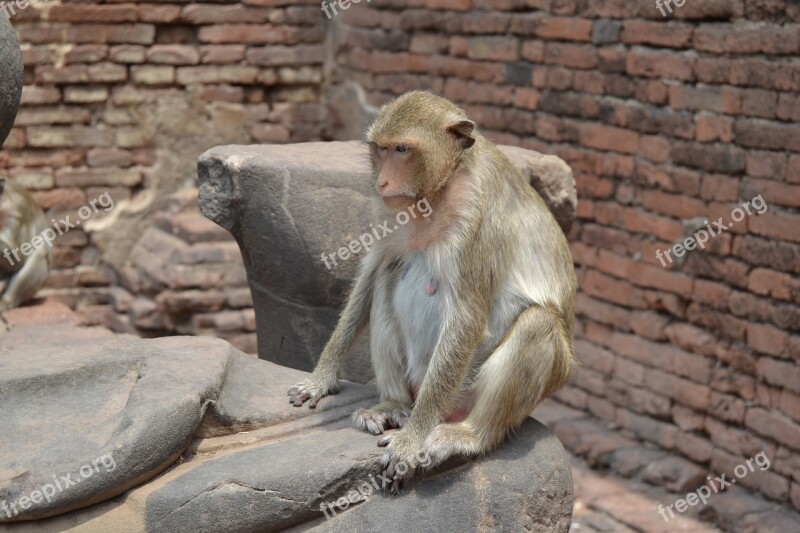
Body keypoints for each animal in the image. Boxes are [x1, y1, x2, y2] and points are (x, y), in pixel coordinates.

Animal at [288, 89, 576, 488]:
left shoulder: (477, 216)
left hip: (466, 392)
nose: (382, 183)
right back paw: (392, 406)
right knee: (386, 276)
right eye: (381, 149)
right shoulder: (390, 211)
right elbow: (371, 273)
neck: (439, 190)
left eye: (403, 149)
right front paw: (321, 379)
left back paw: (468, 434)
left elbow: (467, 319)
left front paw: (411, 441)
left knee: (538, 323)